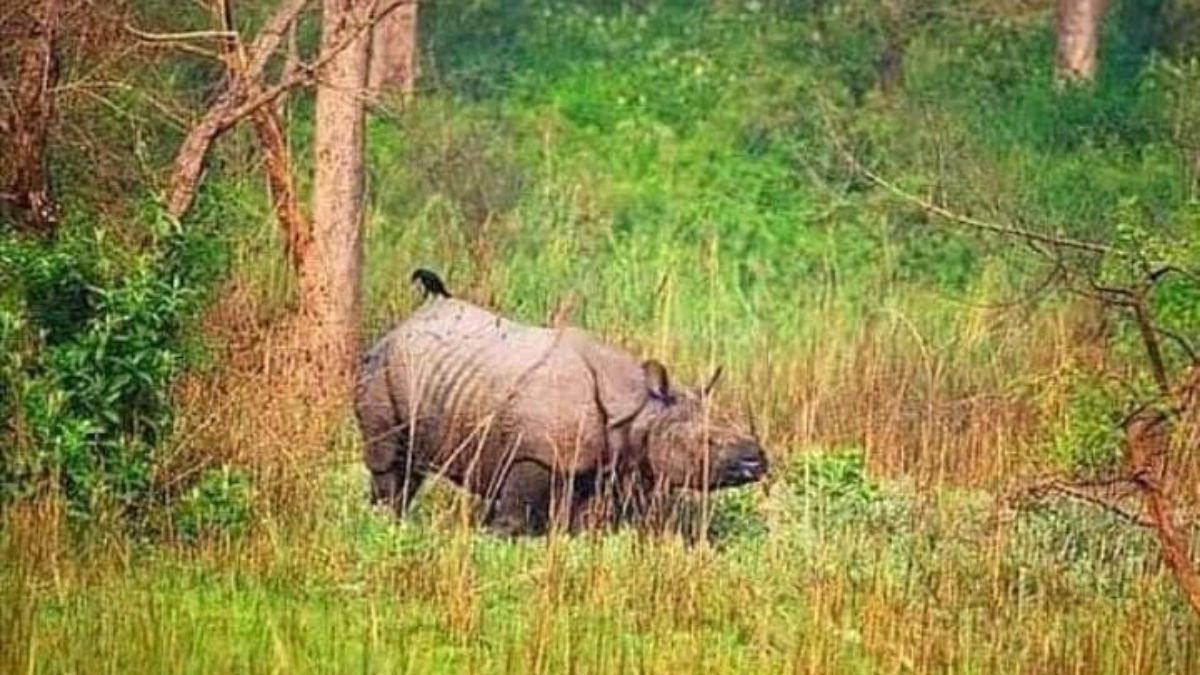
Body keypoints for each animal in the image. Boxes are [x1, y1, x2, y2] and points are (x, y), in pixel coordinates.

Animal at [353, 269, 768, 535]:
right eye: (708, 442)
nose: (759, 461)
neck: (639, 409)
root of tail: (402, 326)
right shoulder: (536, 453)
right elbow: (516, 513)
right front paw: (496, 538)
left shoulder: (603, 463)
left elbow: (581, 520)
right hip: (382, 366)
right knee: (390, 458)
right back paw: (388, 521)